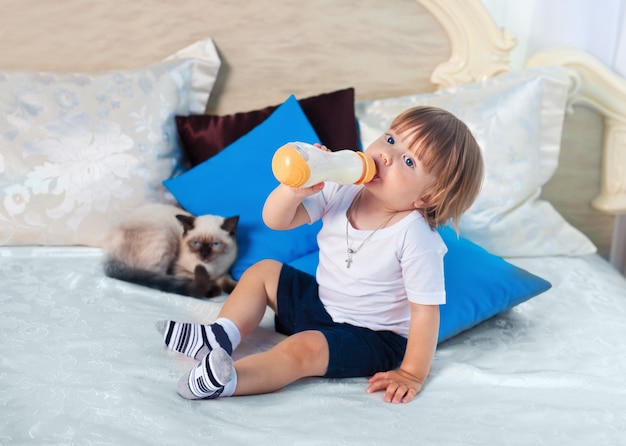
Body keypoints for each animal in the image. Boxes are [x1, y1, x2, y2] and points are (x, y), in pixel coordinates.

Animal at [103, 204, 238, 298]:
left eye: (215, 244)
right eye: (196, 243)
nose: (204, 255)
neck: (210, 269)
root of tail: (111, 254)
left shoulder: (223, 272)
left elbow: (228, 283)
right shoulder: (179, 270)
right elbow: (200, 278)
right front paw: (213, 290)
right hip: (166, 235)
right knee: (157, 276)